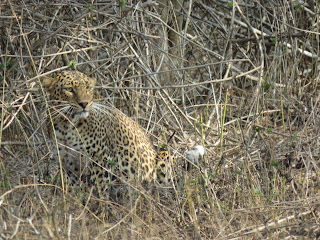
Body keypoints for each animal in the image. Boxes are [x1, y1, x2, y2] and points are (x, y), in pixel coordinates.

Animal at [42, 70, 176, 193]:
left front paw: (98, 202)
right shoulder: (67, 163)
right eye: (69, 89)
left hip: (165, 155)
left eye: (88, 88)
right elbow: (78, 189)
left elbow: (99, 187)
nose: (84, 103)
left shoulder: (100, 158)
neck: (66, 125)